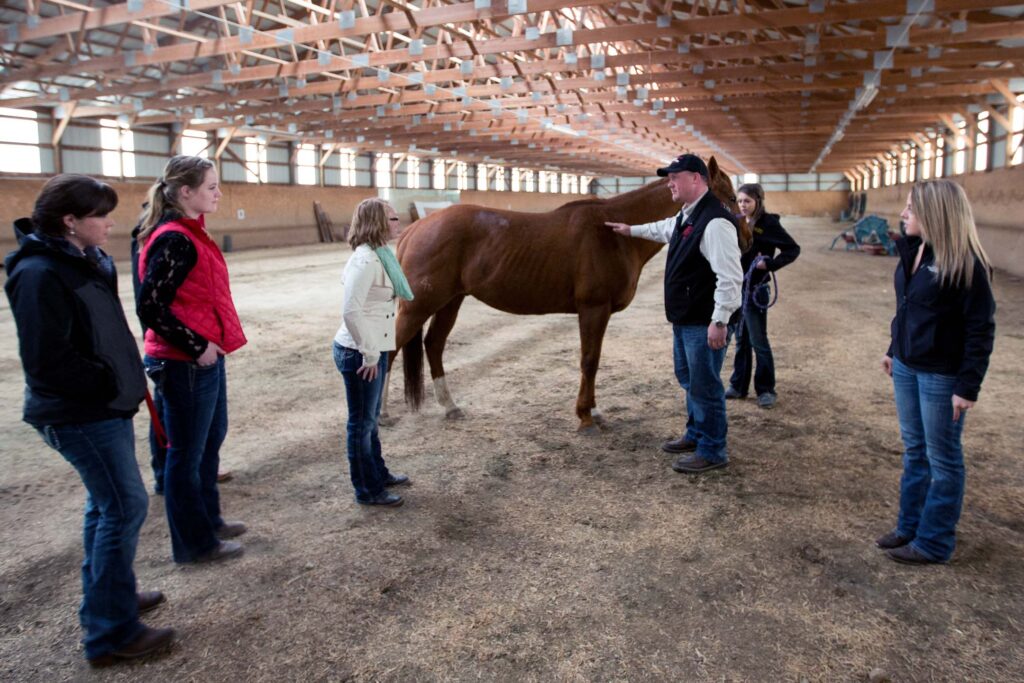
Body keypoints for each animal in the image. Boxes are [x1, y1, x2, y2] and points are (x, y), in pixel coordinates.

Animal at [389, 156, 744, 433]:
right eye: (729, 196)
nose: (746, 238)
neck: (613, 235)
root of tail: (416, 228)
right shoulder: (593, 309)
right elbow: (589, 360)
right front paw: (585, 417)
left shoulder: (599, 312)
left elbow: (594, 360)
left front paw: (594, 411)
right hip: (419, 306)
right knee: (389, 350)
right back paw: (381, 416)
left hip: (451, 301)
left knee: (434, 345)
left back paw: (450, 407)